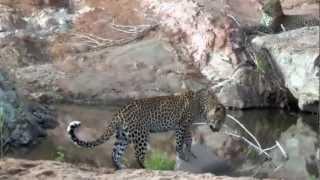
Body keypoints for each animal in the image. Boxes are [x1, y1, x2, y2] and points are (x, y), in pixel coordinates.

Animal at [67, 89, 228, 169]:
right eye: (219, 120)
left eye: (223, 121)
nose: (218, 129)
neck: (202, 105)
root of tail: (120, 111)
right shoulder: (182, 125)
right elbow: (179, 143)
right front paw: (182, 155)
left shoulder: (187, 126)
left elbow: (188, 140)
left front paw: (190, 153)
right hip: (141, 135)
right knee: (138, 155)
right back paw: (147, 168)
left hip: (123, 136)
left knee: (115, 154)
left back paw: (121, 168)